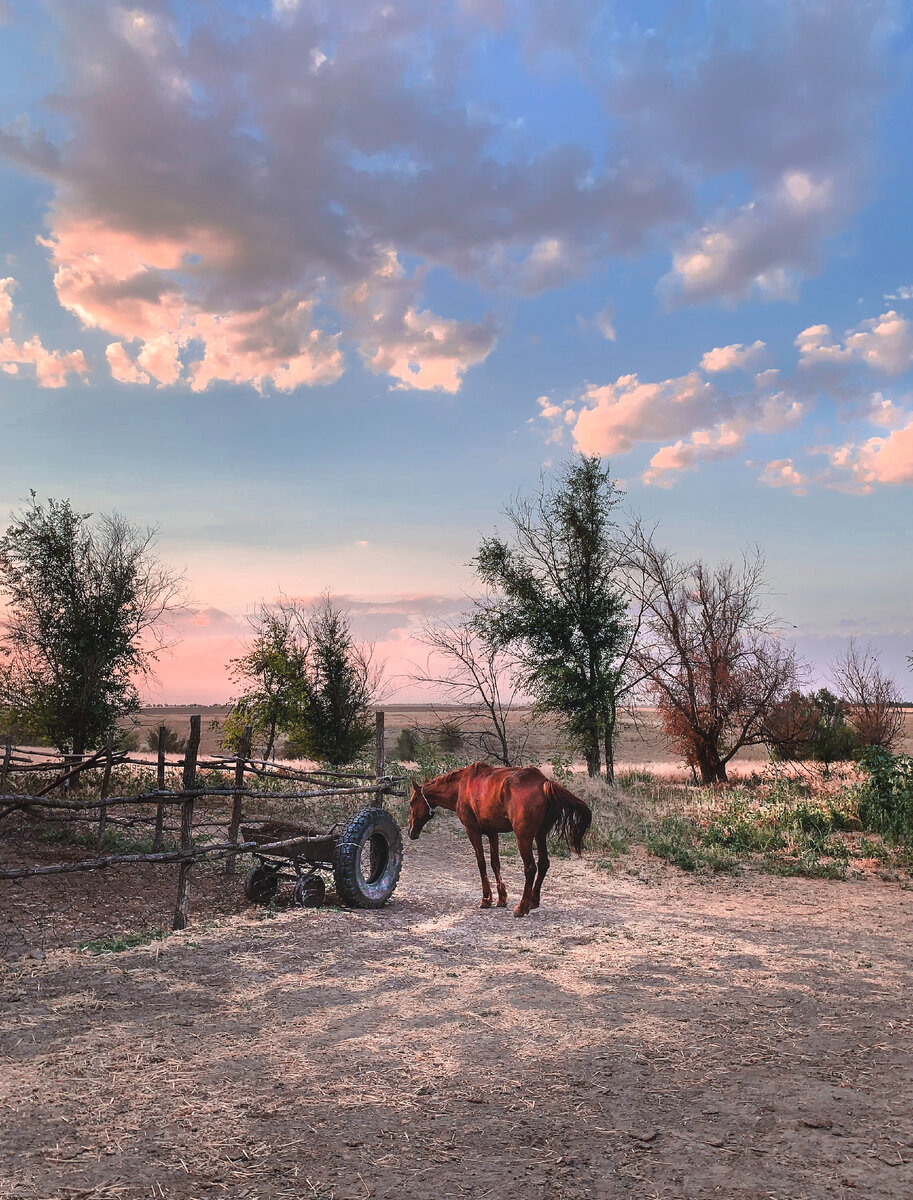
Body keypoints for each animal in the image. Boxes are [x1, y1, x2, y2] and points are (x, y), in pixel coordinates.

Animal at [405, 758, 590, 916]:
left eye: (412, 802)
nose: (410, 831)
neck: (460, 787)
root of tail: (543, 782)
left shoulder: (472, 831)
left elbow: (481, 863)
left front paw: (486, 898)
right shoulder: (492, 832)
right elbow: (495, 864)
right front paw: (501, 898)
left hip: (523, 838)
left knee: (530, 868)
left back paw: (522, 906)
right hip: (540, 835)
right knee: (544, 864)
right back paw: (533, 901)